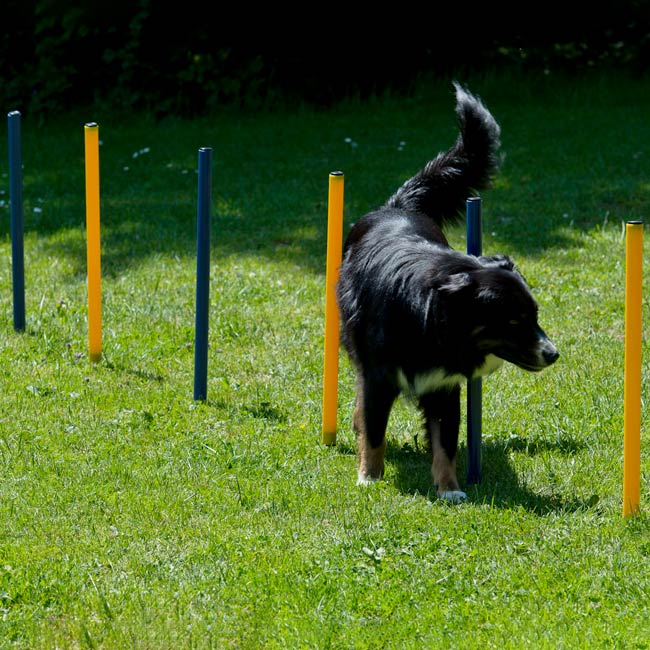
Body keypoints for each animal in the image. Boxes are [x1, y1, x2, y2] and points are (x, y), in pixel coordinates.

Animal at [334, 83, 556, 502]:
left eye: (535, 316)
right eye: (513, 321)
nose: (553, 354)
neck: (429, 318)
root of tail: (396, 206)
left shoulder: (445, 384)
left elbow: (445, 440)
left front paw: (449, 489)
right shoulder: (379, 376)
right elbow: (375, 429)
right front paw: (370, 477)